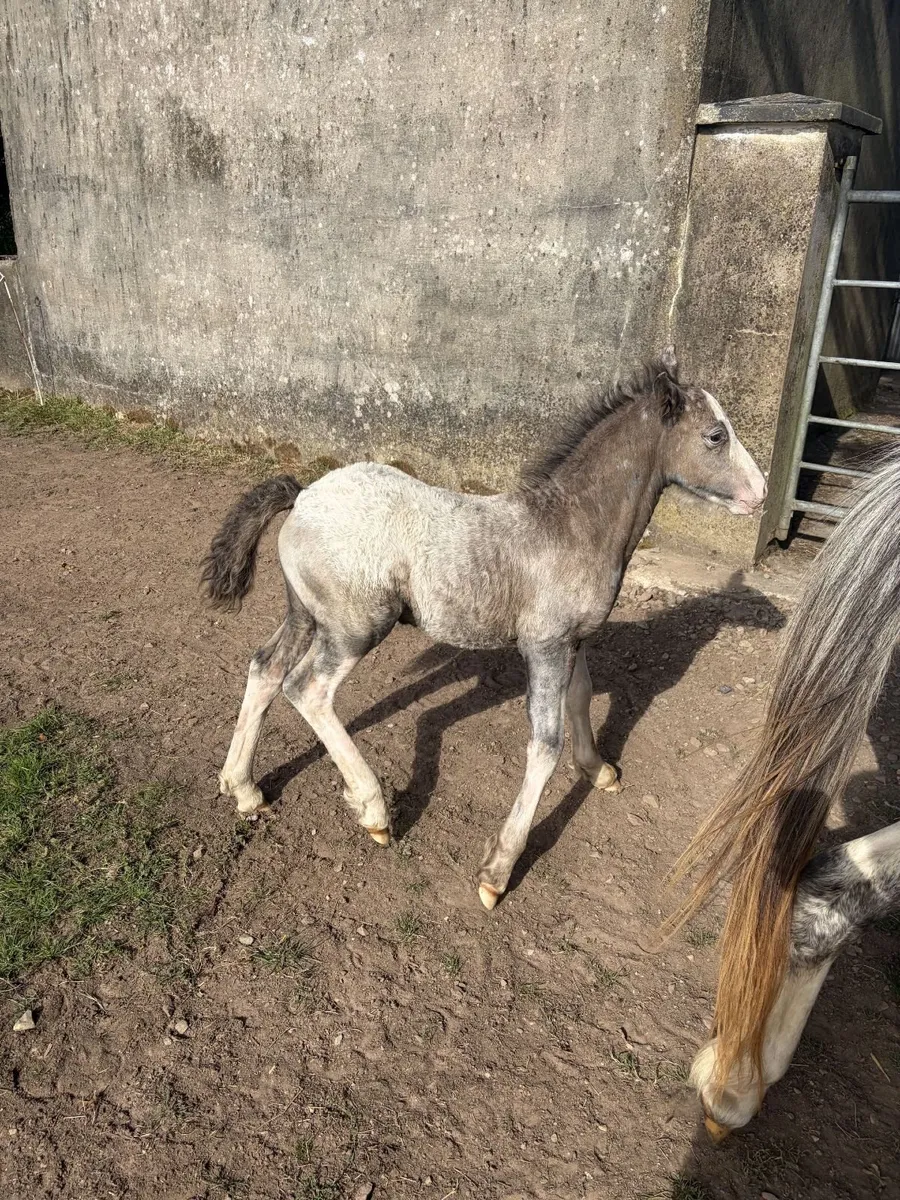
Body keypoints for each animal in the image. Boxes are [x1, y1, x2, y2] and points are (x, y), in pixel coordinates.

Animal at [202, 347, 767, 909]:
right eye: (716, 435)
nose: (760, 494)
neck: (573, 525)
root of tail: (303, 495)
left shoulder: (574, 640)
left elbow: (580, 699)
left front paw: (598, 769)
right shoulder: (545, 646)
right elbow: (544, 745)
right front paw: (497, 871)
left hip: (305, 614)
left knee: (265, 668)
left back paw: (243, 788)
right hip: (354, 627)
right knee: (308, 689)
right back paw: (374, 810)